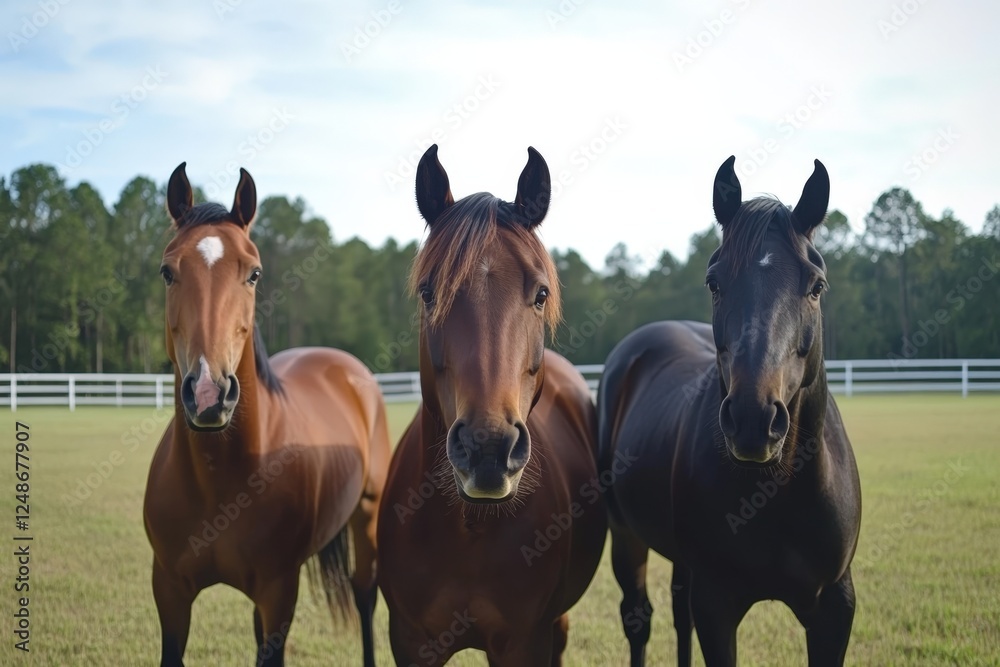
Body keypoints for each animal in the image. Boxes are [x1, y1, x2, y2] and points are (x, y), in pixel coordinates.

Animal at [143, 164, 391, 667]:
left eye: (254, 273)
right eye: (167, 271)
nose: (208, 393)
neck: (220, 481)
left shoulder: (279, 593)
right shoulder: (170, 592)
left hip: (367, 517)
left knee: (364, 595)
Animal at [376, 145, 607, 666]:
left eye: (540, 293)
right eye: (429, 292)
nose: (487, 450)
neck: (468, 530)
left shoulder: (524, 642)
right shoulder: (411, 642)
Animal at [597, 157, 862, 666]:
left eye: (816, 285)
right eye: (714, 282)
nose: (754, 421)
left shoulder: (835, 606)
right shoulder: (717, 604)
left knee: (677, 612)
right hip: (625, 536)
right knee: (638, 619)